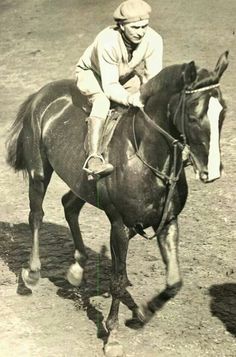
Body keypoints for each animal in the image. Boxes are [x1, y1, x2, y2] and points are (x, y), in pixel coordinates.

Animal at [6, 51, 229, 354]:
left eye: (223, 112)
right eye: (194, 116)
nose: (212, 171)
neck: (145, 156)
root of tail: (41, 93)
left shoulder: (167, 223)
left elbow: (173, 282)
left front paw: (142, 312)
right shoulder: (120, 226)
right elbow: (118, 280)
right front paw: (111, 335)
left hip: (81, 183)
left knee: (69, 206)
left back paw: (77, 268)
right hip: (39, 172)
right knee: (36, 216)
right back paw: (31, 274)